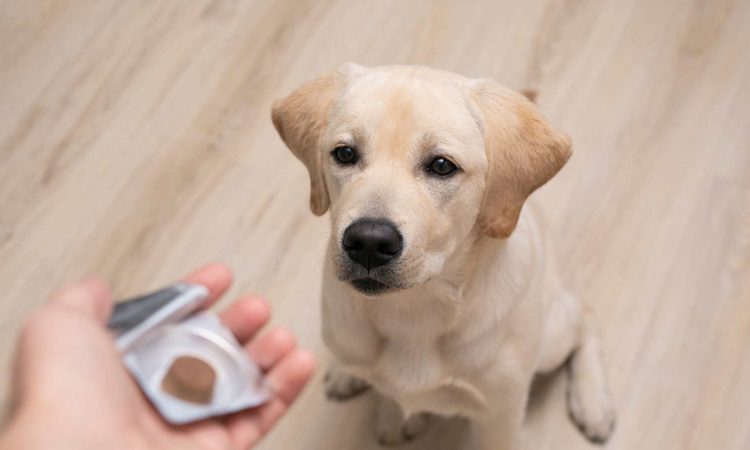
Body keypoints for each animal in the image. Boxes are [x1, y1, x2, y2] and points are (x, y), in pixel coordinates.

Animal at [274, 64, 612, 450]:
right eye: (344, 154)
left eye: (441, 165)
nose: (368, 241)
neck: (414, 308)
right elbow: (389, 390)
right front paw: (393, 415)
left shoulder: (500, 415)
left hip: (552, 335)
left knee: (585, 316)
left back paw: (593, 402)